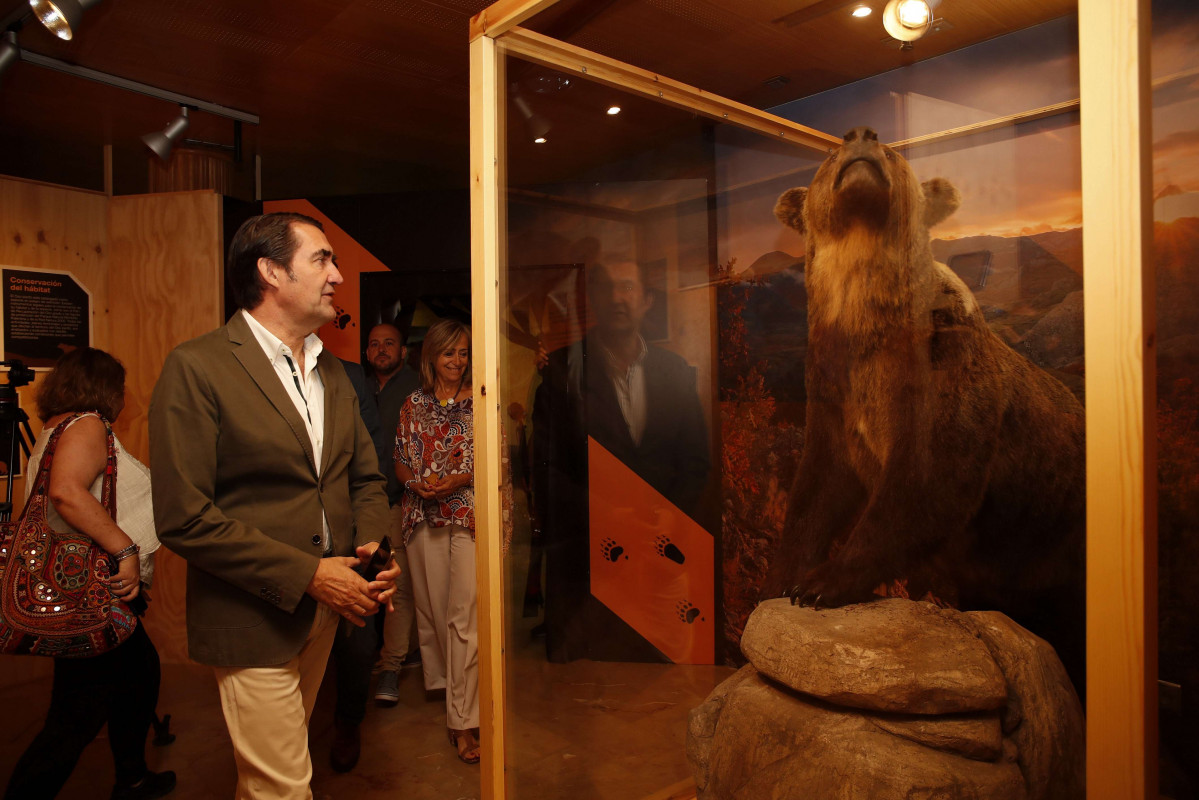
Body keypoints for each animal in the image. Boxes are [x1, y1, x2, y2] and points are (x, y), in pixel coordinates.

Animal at [767, 128, 1088, 690]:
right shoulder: (832, 391)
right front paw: (789, 577)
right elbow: (818, 488)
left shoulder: (943, 375)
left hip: (1058, 537)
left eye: (894, 149)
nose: (861, 135)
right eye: (830, 153)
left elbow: (929, 481)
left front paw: (824, 582)